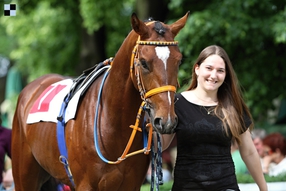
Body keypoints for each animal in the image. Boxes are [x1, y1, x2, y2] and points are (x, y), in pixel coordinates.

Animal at [11, 12, 190, 191]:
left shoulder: (131, 185)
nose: (166, 121)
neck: (112, 123)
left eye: (179, 61)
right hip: (24, 177)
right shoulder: (86, 185)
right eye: (144, 62)